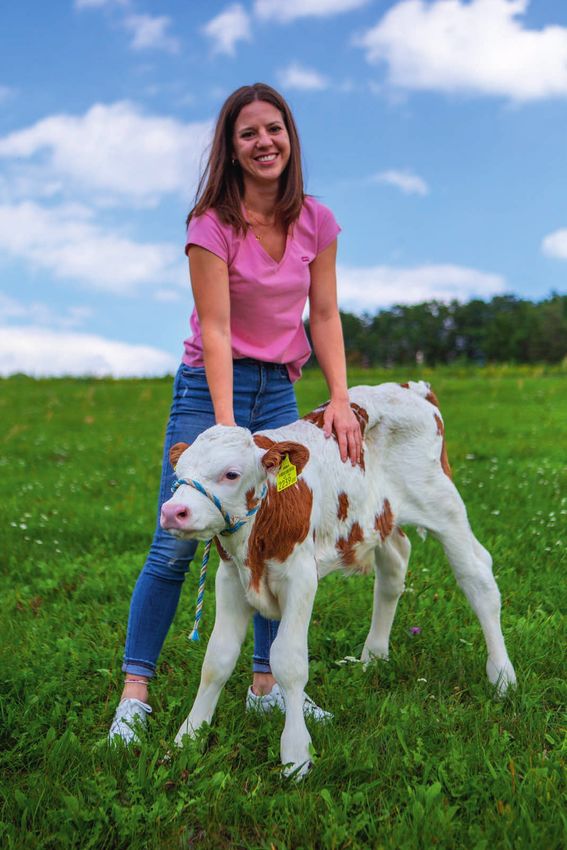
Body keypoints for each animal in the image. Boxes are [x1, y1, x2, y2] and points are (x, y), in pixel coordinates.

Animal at [160, 381, 516, 778]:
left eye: (231, 474)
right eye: (178, 475)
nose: (173, 511)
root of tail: (410, 387)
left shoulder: (301, 576)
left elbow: (288, 661)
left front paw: (296, 754)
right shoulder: (230, 578)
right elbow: (217, 659)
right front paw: (188, 737)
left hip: (441, 503)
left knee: (478, 576)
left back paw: (502, 676)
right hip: (380, 517)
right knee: (395, 566)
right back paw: (373, 657)